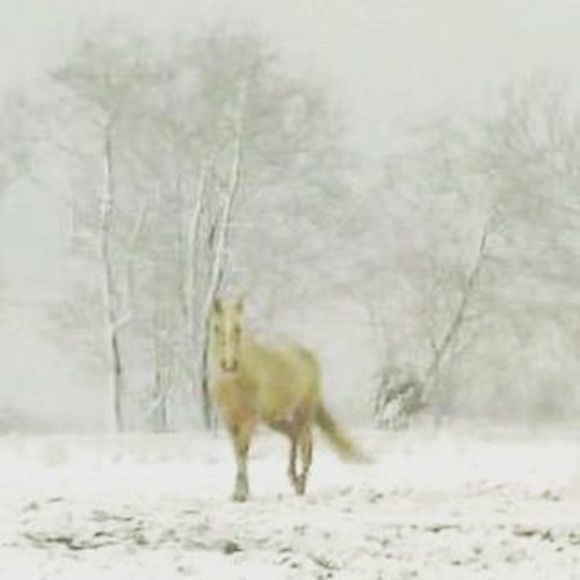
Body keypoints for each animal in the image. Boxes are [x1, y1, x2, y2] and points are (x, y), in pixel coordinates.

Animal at [208, 297, 366, 502]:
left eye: (238, 328)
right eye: (216, 327)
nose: (229, 365)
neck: (233, 383)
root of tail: (308, 356)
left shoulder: (249, 420)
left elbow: (243, 451)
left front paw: (242, 494)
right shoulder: (229, 420)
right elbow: (238, 454)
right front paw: (239, 492)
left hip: (303, 412)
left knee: (305, 443)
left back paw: (300, 482)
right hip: (275, 418)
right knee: (294, 435)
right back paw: (295, 479)